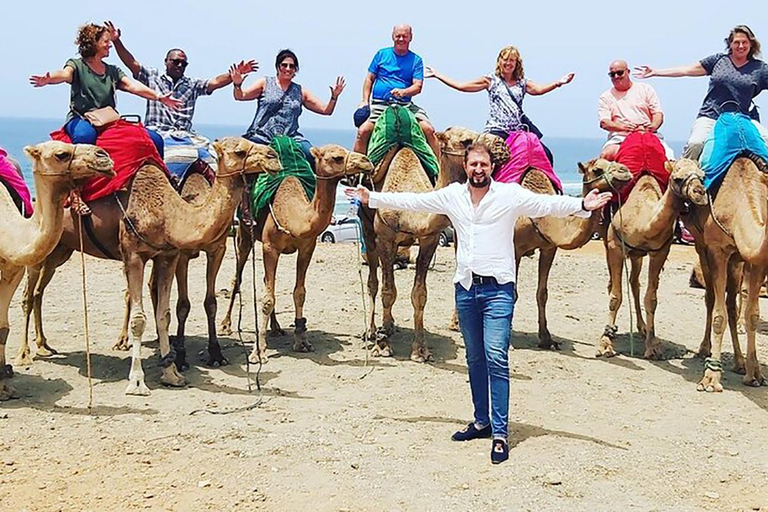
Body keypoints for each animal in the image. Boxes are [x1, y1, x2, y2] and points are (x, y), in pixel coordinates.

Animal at [218, 143, 374, 360]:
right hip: (244, 233)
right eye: (336, 157)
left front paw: (301, 341)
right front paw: (258, 351)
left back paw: (276, 327)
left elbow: (299, 293)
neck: (293, 215)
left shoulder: (307, 248)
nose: (366, 161)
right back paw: (226, 325)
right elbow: (267, 298)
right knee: (238, 277)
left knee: (266, 282)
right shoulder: (270, 247)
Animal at [356, 125, 476, 362]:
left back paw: (389, 326)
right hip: (367, 230)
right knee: (373, 281)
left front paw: (420, 350)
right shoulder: (385, 238)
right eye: (466, 141)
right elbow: (387, 291)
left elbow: (419, 294)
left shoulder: (430, 239)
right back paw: (372, 331)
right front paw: (383, 347)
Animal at [596, 158, 712, 358]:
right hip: (611, 245)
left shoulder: (660, 252)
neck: (643, 221)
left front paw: (652, 345)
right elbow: (615, 296)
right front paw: (605, 344)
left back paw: (642, 328)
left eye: (703, 176)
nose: (700, 194)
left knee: (634, 283)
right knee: (615, 283)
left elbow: (651, 299)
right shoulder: (615, 247)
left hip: (637, 256)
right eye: (677, 178)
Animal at [680, 157, 768, 392]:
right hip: (701, 248)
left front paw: (754, 373)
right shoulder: (716, 250)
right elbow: (719, 315)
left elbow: (752, 315)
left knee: (731, 305)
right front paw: (711, 379)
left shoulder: (755, 258)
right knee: (711, 299)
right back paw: (704, 349)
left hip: (736, 262)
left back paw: (739, 362)